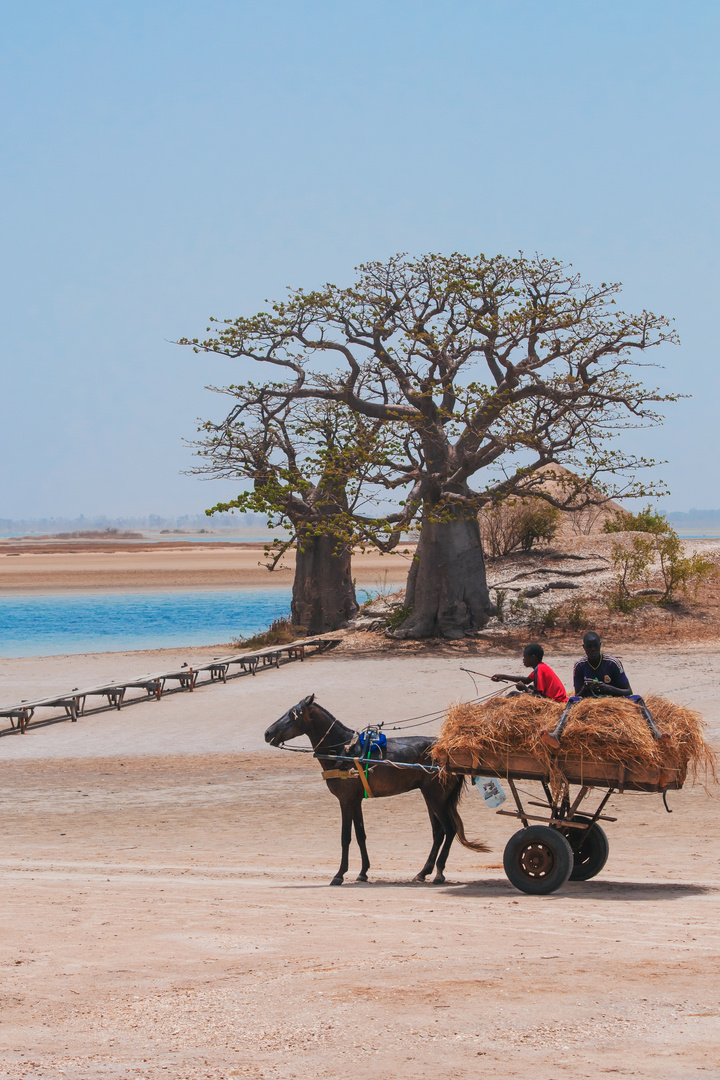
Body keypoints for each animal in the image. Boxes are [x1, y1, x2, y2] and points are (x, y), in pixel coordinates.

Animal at [264, 691, 490, 885]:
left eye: (293, 714)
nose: (267, 733)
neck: (343, 751)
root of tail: (450, 748)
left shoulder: (345, 800)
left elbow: (345, 837)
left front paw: (339, 874)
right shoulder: (355, 800)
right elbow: (360, 834)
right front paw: (363, 871)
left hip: (436, 797)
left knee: (449, 829)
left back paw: (439, 872)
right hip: (432, 797)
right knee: (439, 832)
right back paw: (424, 871)